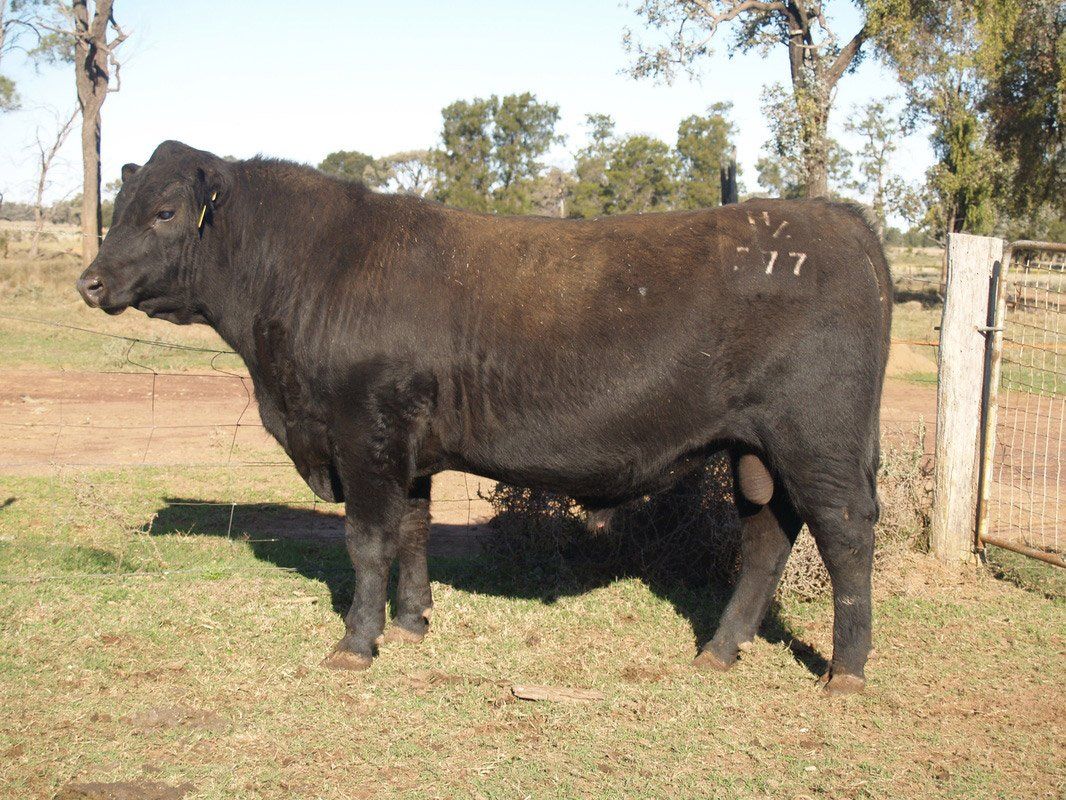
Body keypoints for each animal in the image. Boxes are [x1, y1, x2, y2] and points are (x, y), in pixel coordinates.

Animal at [77, 140, 891, 695]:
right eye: (119, 209)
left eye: (165, 211)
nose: (91, 281)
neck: (317, 268)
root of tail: (835, 217)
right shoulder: (408, 448)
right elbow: (412, 532)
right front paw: (412, 624)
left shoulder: (364, 433)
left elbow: (366, 541)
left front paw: (357, 643)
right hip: (758, 451)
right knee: (768, 537)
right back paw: (719, 650)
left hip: (819, 442)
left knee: (846, 535)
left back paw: (845, 673)